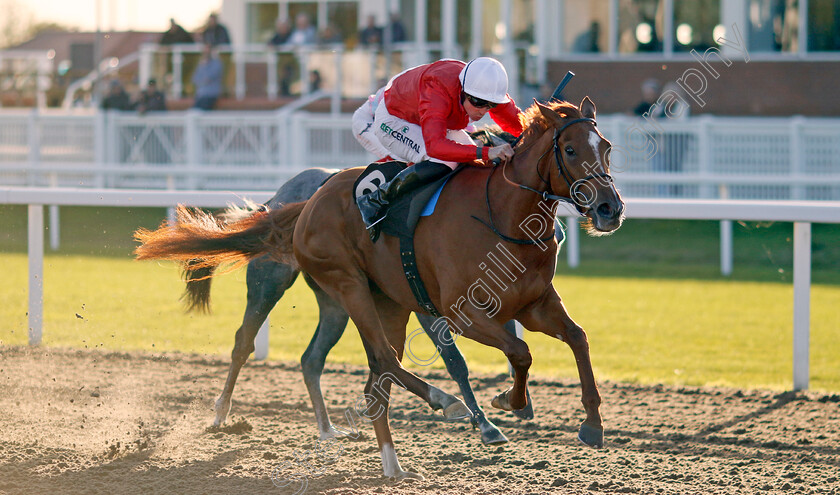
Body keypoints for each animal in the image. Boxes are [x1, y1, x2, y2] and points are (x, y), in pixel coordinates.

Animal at [187, 169, 536, 448]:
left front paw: (519, 404)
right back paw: (220, 413)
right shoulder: (428, 308)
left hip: (336, 304)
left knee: (311, 358)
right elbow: (456, 361)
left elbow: (510, 343)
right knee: (243, 342)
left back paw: (327, 428)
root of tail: (276, 201)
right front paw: (486, 425)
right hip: (270, 283)